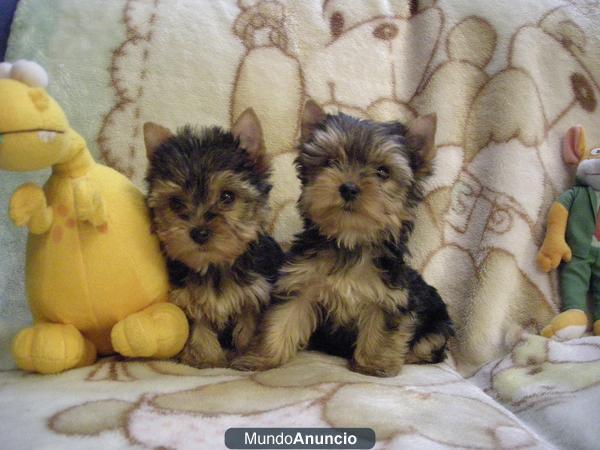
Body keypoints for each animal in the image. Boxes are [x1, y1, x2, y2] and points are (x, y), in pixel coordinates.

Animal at [145, 110, 286, 370]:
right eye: (176, 203)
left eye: (227, 196)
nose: (199, 232)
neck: (214, 266)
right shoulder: (188, 297)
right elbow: (199, 327)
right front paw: (206, 358)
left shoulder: (254, 294)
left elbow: (248, 328)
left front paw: (244, 356)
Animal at [232, 101, 452, 376]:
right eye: (331, 162)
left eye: (383, 172)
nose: (349, 187)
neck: (350, 241)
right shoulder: (300, 283)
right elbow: (282, 319)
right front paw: (261, 358)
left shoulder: (390, 297)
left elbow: (383, 329)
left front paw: (374, 365)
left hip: (437, 325)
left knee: (428, 346)